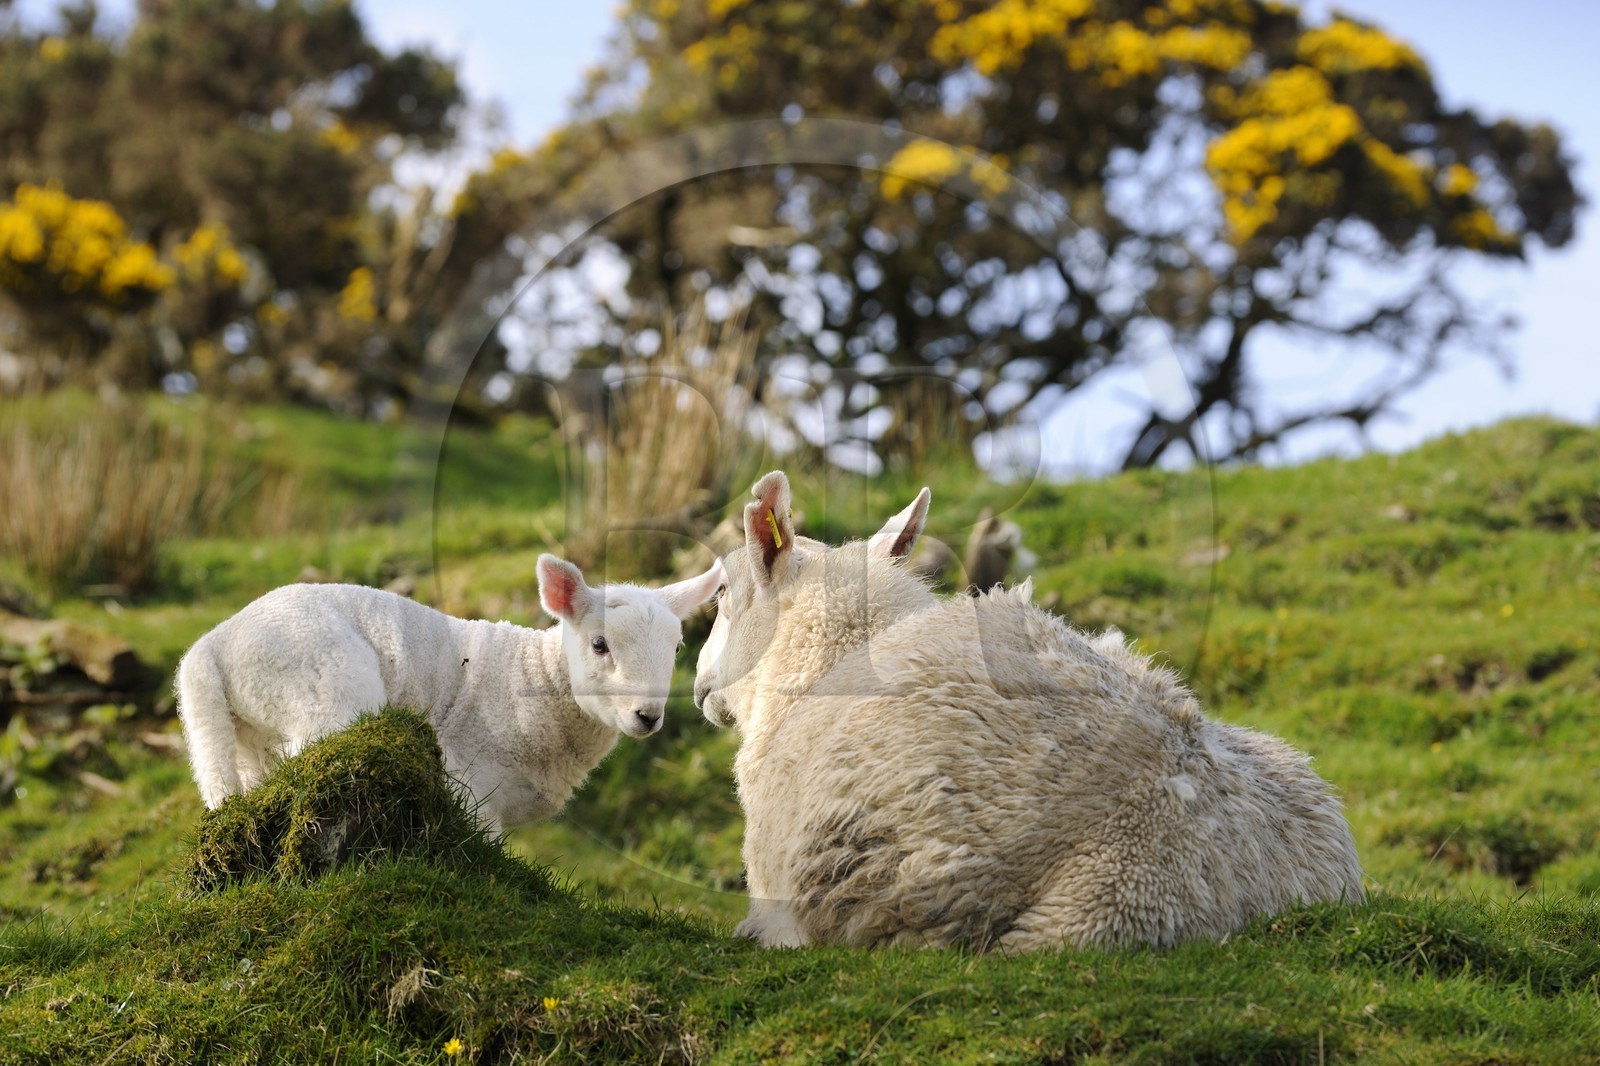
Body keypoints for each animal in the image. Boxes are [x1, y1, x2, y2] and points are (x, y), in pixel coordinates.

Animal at [176, 554, 722, 833]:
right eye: (600, 644)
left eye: (677, 647)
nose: (648, 715)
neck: (538, 678)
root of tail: (211, 647)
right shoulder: (469, 780)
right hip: (324, 685)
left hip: (246, 735)